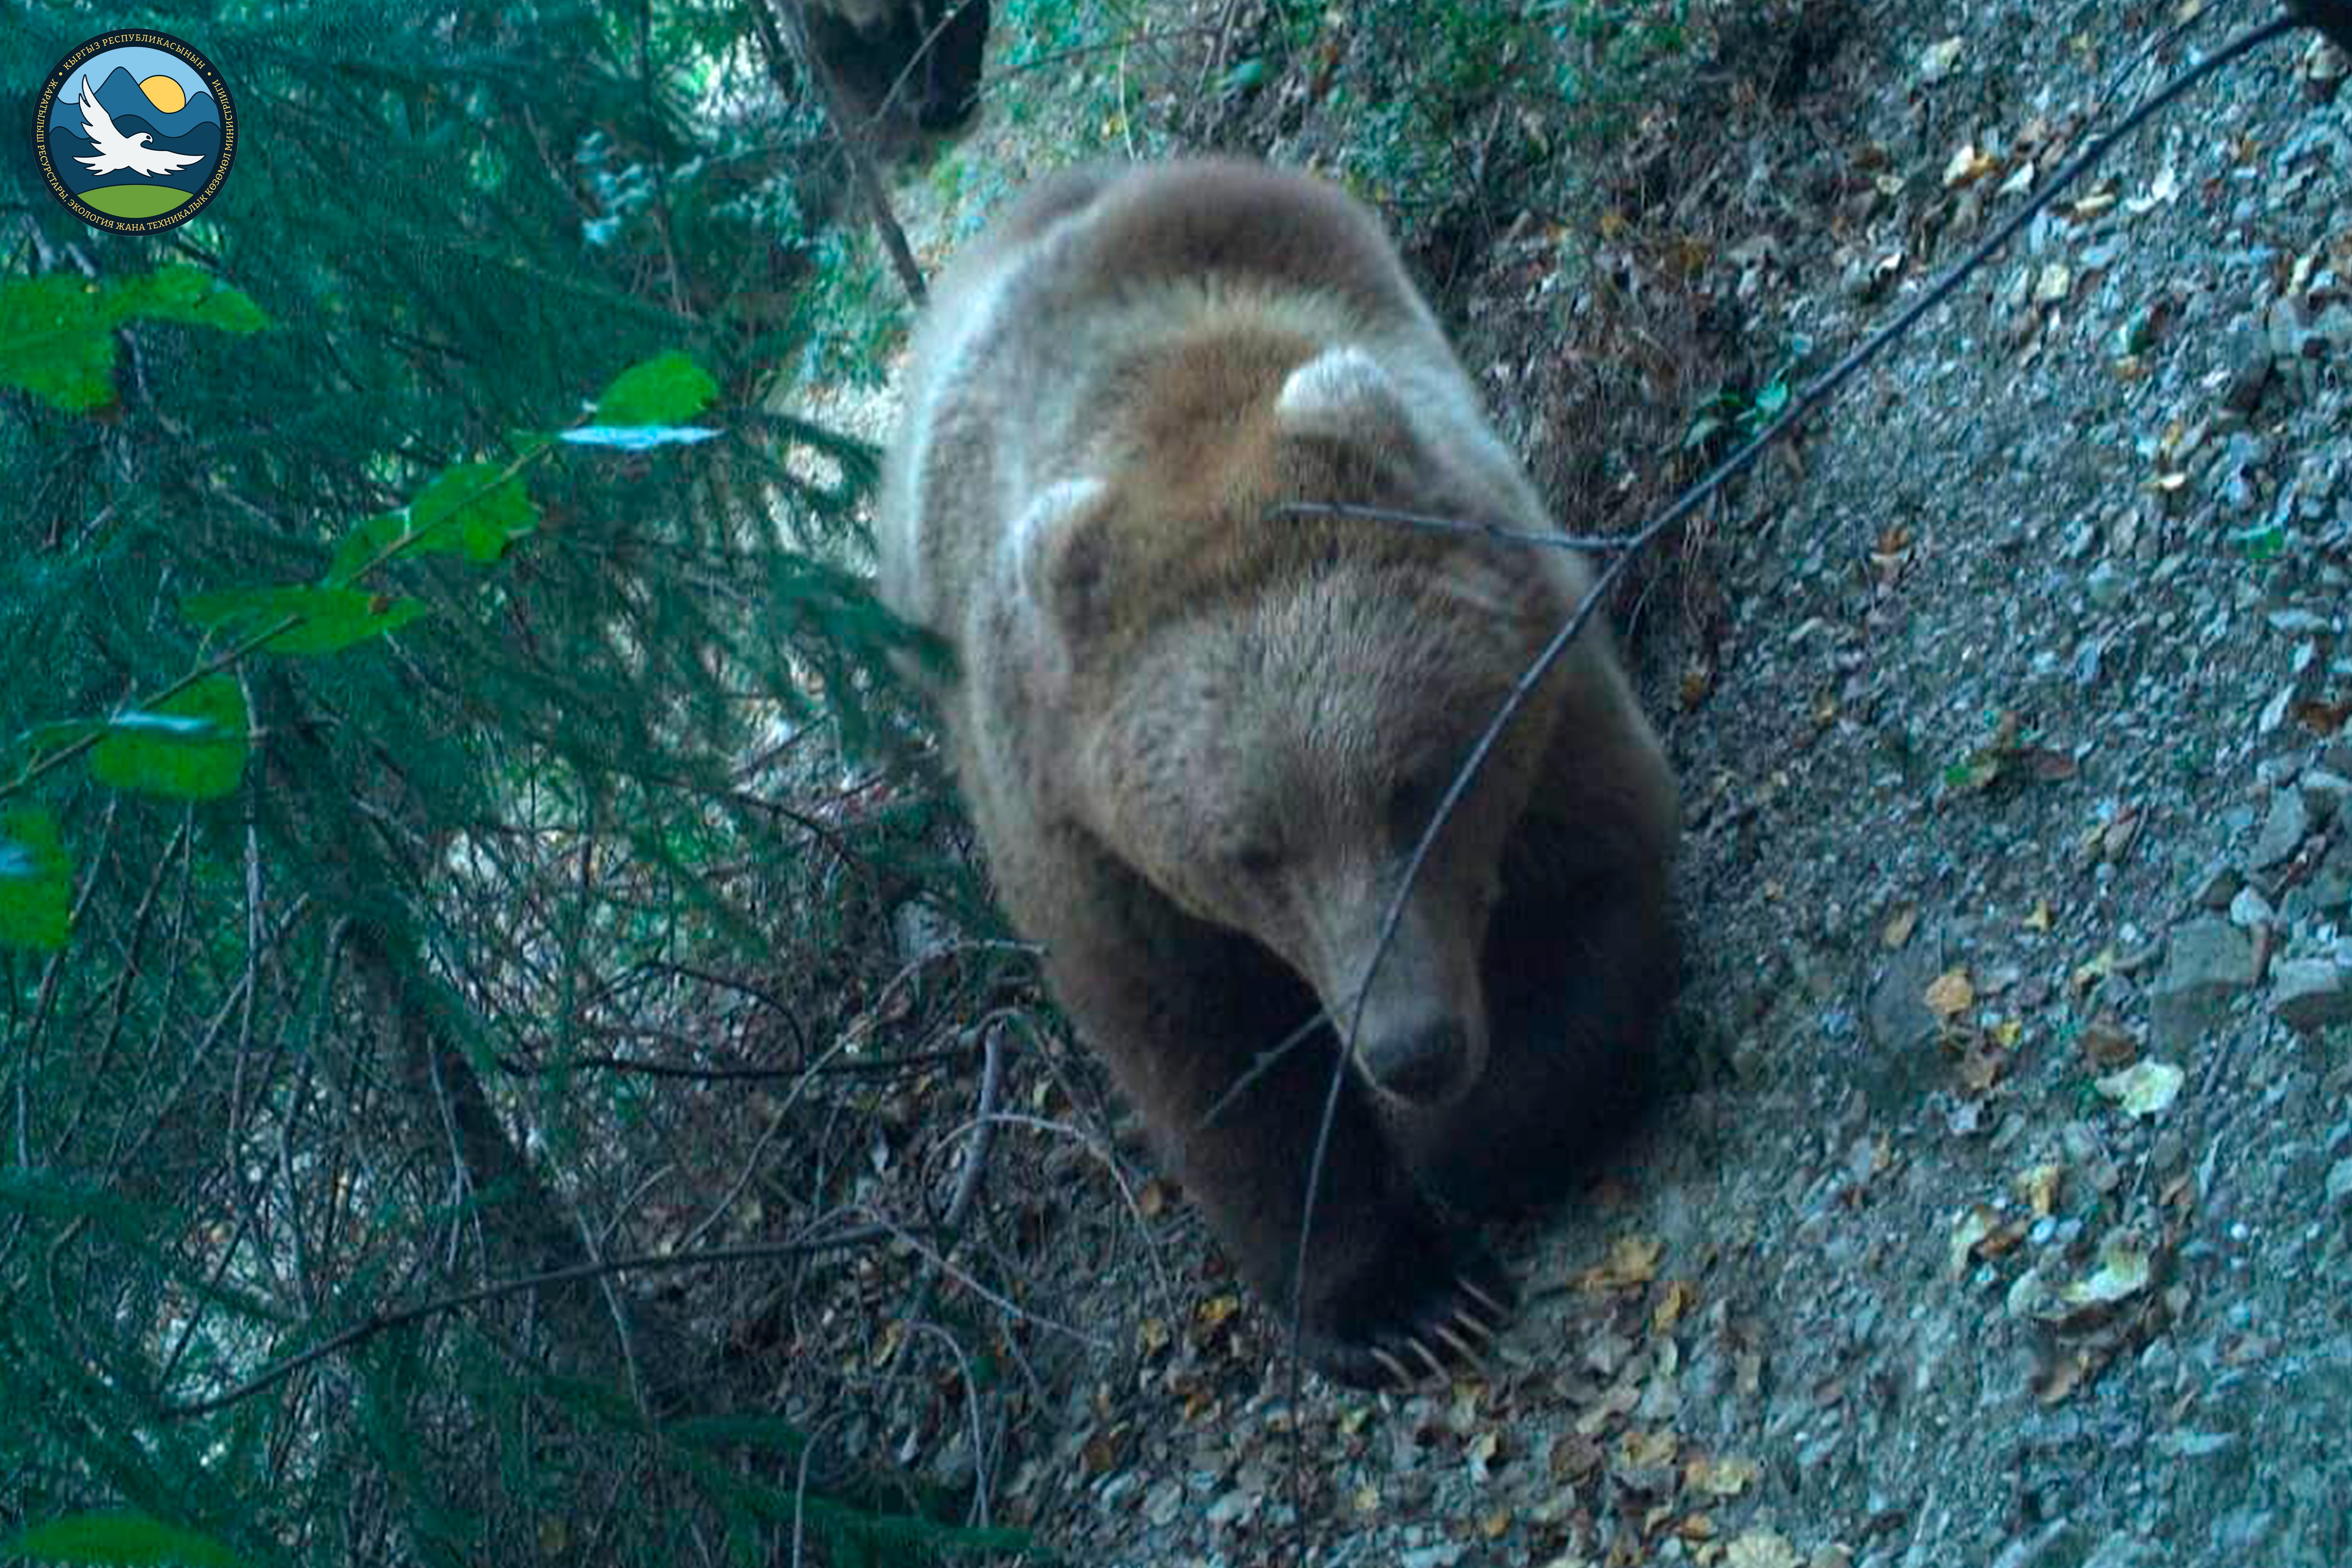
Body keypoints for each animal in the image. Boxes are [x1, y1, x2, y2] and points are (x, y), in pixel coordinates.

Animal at [880, 160, 1675, 1382]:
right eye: (1251, 853)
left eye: (1417, 784)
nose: (1411, 1046)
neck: (1184, 419)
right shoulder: (1082, 832)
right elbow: (1213, 1067)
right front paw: (1405, 1302)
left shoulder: (1541, 674)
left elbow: (1596, 890)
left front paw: (1459, 1139)